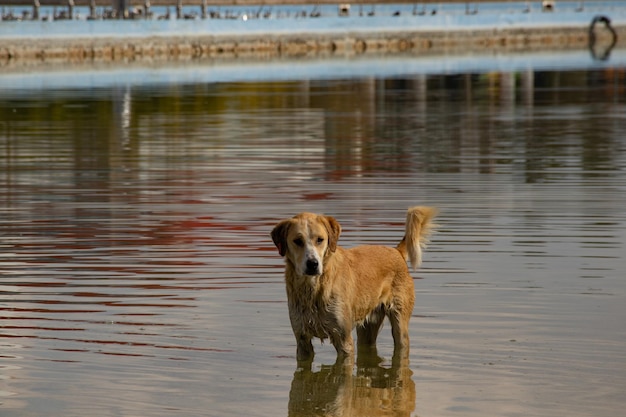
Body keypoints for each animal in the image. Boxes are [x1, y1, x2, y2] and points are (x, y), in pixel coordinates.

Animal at [270, 206, 436, 360]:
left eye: (320, 239)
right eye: (297, 241)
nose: (313, 264)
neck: (313, 289)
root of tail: (396, 251)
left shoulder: (344, 340)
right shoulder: (302, 340)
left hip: (400, 322)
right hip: (368, 327)